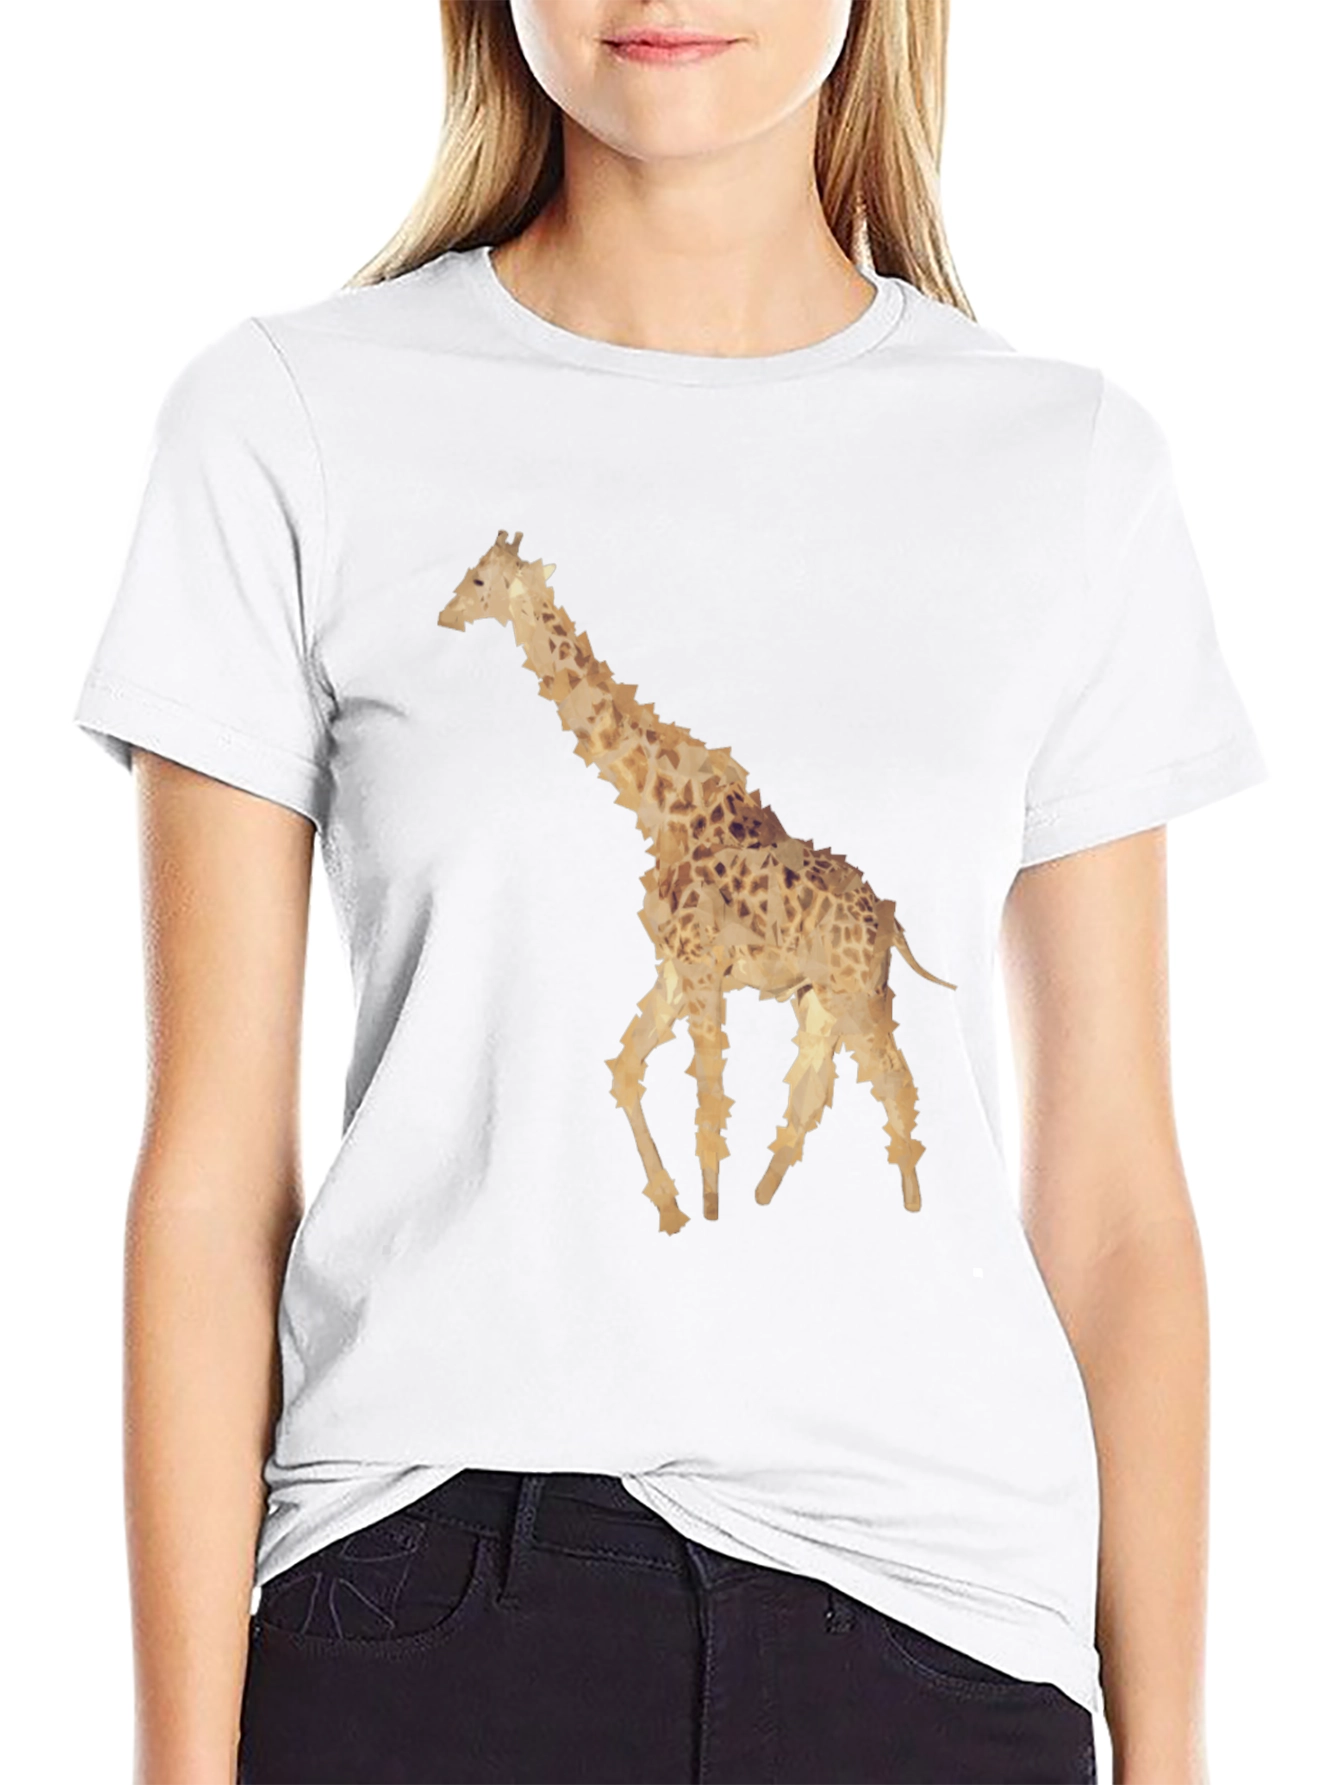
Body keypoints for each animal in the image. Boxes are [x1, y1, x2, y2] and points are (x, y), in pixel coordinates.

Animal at [438, 529, 957, 1235]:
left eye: (479, 581)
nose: (446, 615)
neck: (659, 808)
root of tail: (890, 919)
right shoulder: (674, 970)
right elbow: (626, 1072)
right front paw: (674, 1208)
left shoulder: (705, 968)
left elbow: (708, 1103)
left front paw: (710, 1210)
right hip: (818, 997)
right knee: (815, 1086)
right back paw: (767, 1196)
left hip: (857, 992)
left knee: (893, 1081)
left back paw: (910, 1206)